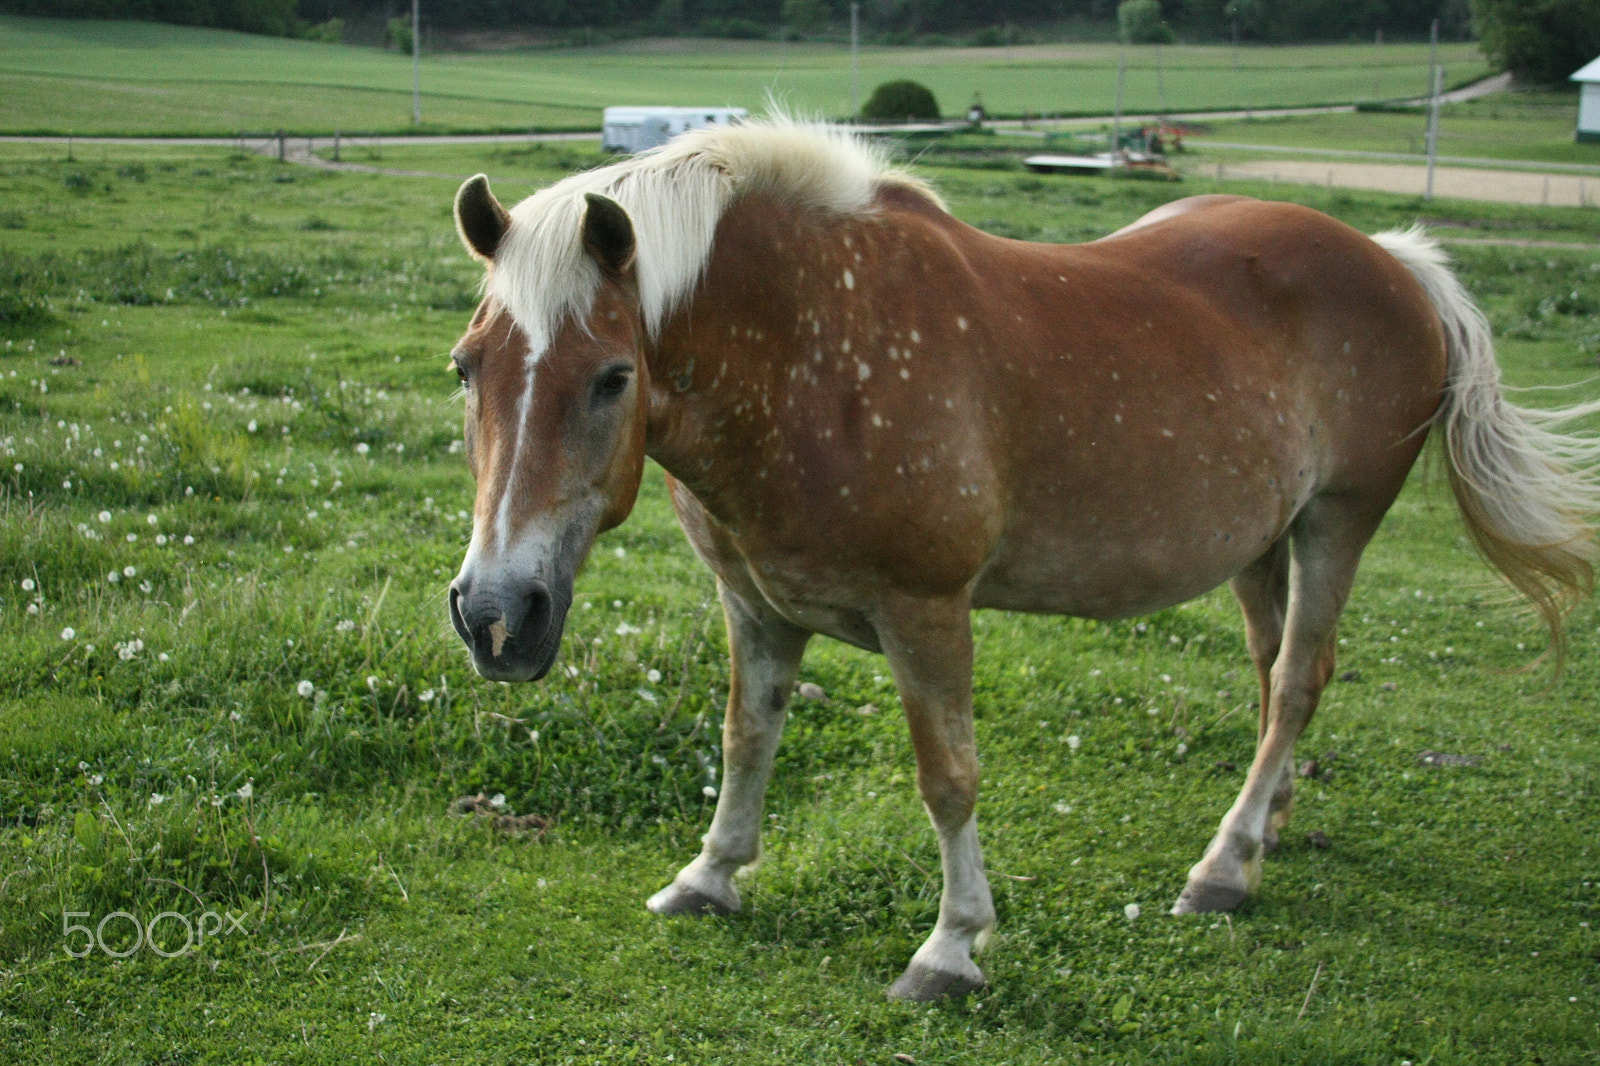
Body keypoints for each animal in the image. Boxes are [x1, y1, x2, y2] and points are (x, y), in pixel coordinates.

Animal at [442, 119, 1600, 1000]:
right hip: (1262, 542)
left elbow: (947, 777)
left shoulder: (926, 610)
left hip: (1337, 525)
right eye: (466, 367)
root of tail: (1396, 260)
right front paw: (709, 876)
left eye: (611, 376)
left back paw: (1223, 867)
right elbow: (745, 740)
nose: (497, 615)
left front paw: (951, 946)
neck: (813, 350)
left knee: (1300, 678)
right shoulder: (755, 602)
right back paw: (1264, 827)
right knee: (1277, 678)